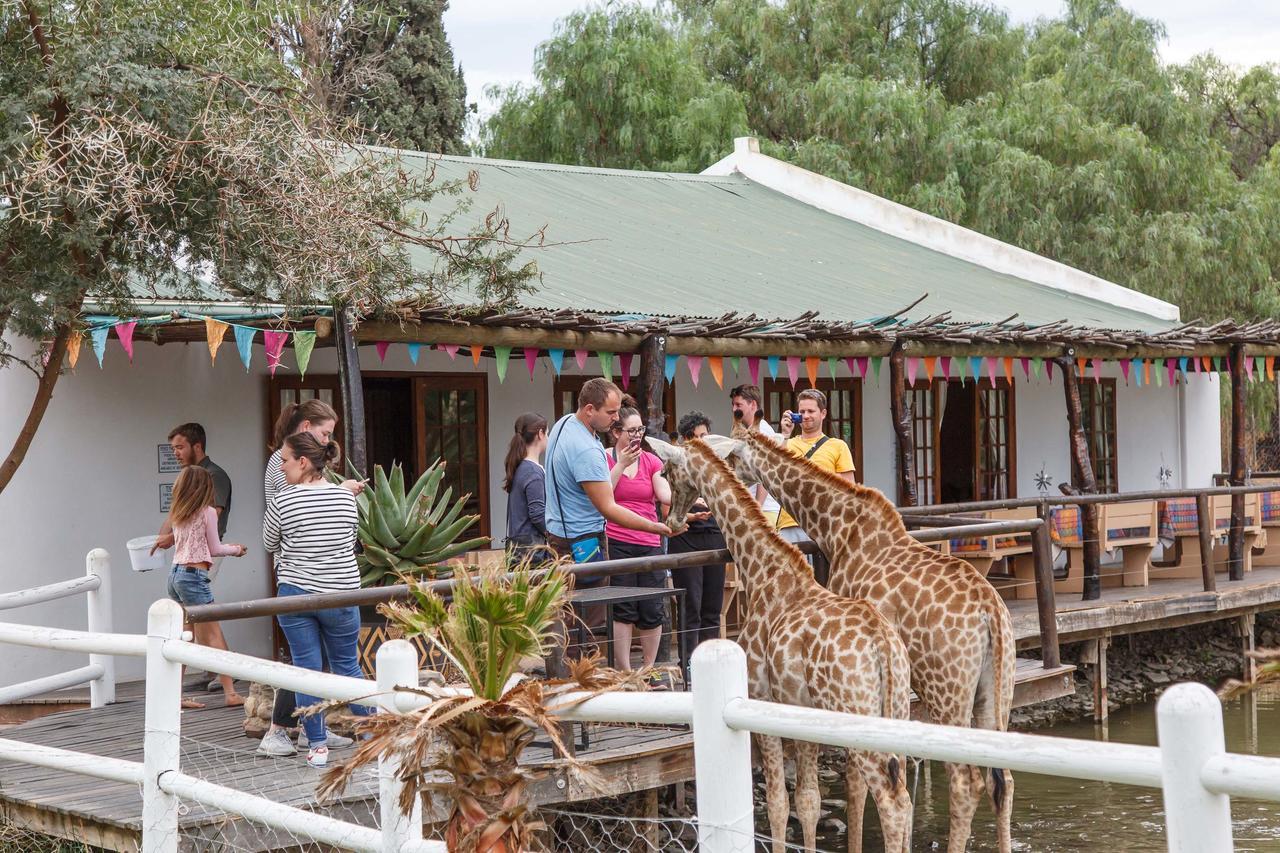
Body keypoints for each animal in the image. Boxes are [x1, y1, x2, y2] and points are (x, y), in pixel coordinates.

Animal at [655, 438, 916, 850]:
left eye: (666, 471)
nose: (672, 521)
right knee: (904, 796)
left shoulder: (761, 700)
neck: (762, 571)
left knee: (891, 802)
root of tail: (883, 648)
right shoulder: (800, 707)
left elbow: (779, 803)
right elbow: (809, 800)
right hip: (898, 710)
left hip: (858, 715)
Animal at [716, 427, 1013, 850]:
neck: (837, 529)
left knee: (964, 781)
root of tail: (992, 614)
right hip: (997, 690)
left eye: (733, 453)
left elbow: (856, 780)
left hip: (947, 691)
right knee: (1002, 781)